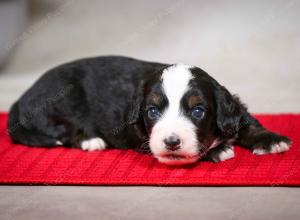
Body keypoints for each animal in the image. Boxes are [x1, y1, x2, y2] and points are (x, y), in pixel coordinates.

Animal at [8, 55, 290, 166]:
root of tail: (20, 100)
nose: (172, 142)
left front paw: (271, 140)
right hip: (59, 102)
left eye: (198, 111)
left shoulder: (233, 107)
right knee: (63, 130)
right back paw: (91, 140)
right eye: (152, 112)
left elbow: (246, 121)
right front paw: (217, 150)